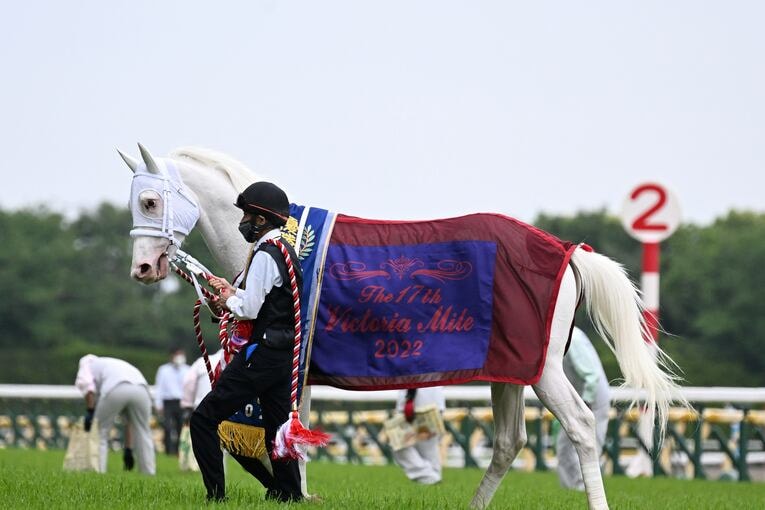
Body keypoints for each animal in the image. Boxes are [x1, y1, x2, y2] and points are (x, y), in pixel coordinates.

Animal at [120, 143, 684, 510]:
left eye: (149, 201)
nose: (142, 269)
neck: (282, 238)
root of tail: (566, 251)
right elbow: (281, 434)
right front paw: (290, 492)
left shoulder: (293, 361)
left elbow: (283, 433)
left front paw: (292, 491)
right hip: (510, 371)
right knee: (509, 442)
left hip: (543, 370)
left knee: (582, 427)